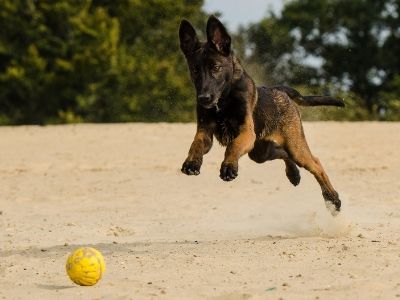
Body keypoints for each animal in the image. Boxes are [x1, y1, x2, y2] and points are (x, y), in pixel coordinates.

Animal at [178, 15, 344, 216]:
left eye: (216, 67)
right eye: (195, 70)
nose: (204, 98)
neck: (223, 101)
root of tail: (280, 90)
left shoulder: (246, 133)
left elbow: (232, 147)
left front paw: (229, 166)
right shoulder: (204, 132)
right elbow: (195, 145)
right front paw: (191, 163)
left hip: (293, 146)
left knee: (316, 164)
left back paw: (333, 199)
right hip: (260, 152)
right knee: (283, 153)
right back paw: (294, 174)